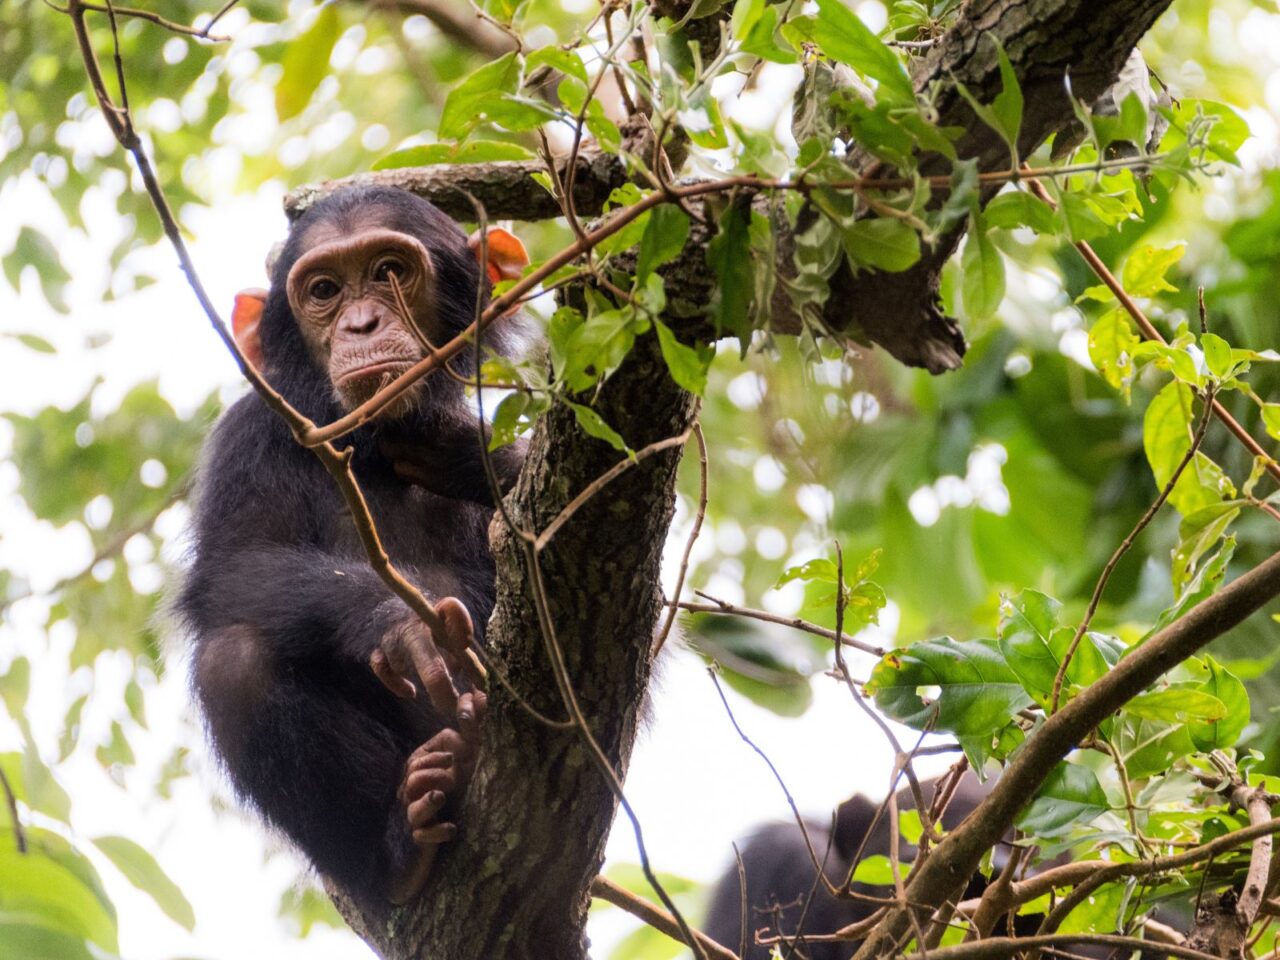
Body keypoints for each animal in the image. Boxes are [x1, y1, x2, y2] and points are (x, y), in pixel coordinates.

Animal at [178, 185, 530, 906]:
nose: (362, 324)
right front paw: (398, 624)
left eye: (390, 271)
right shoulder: (249, 433)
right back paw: (403, 841)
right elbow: (237, 565)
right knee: (234, 662)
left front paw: (468, 455)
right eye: (324, 290)